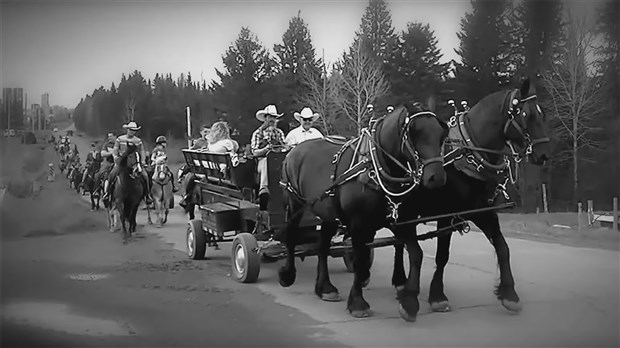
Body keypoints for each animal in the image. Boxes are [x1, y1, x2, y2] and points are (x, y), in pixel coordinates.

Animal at [278, 102, 448, 320]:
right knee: (291, 235)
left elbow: (415, 254)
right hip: (295, 204)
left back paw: (325, 288)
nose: (437, 177)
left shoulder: (400, 221)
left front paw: (409, 301)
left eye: (441, 134)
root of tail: (294, 151)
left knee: (322, 247)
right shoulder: (359, 223)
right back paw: (288, 274)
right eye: (414, 132)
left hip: (328, 214)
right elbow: (359, 260)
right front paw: (358, 303)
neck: (377, 166)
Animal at [394, 77, 548, 314]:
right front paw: (437, 296)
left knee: (398, 242)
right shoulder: (446, 215)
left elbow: (503, 248)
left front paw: (509, 294)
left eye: (541, 113)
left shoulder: (484, 212)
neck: (467, 156)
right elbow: (442, 256)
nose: (544, 154)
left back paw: (400, 283)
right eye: (527, 115)